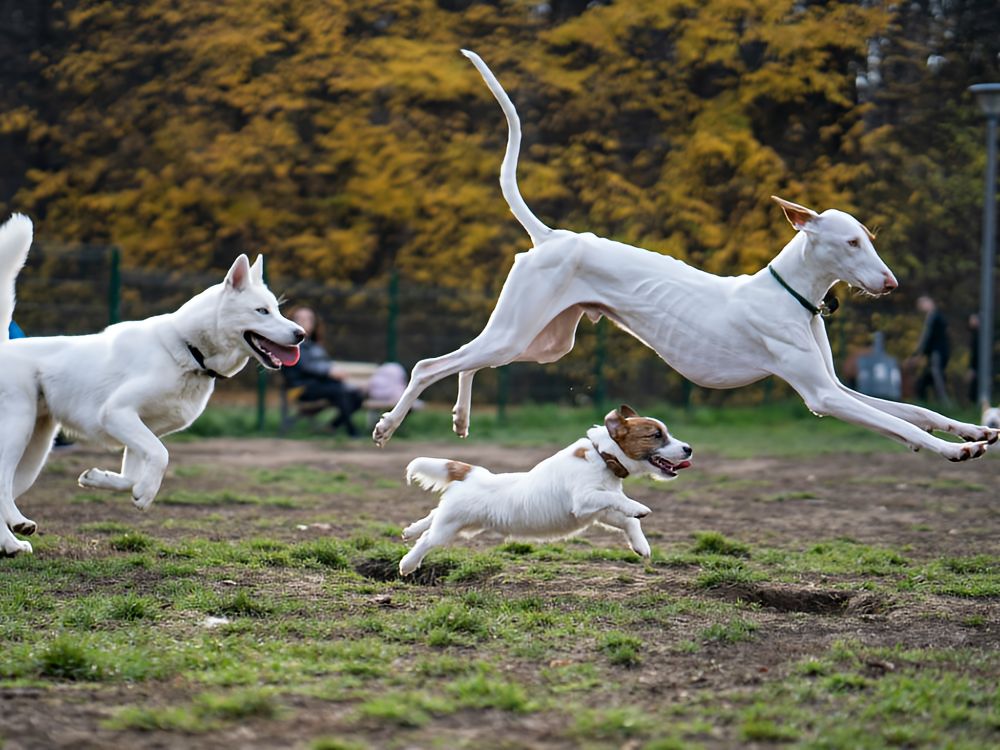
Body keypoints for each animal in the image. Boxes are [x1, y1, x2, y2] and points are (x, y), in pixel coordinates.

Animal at [0, 214, 304, 556]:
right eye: (261, 311)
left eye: (277, 309)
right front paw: (145, 493)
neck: (188, 351)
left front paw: (100, 480)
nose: (301, 334)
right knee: (1, 485)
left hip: (35, 452)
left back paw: (10, 543)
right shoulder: (116, 413)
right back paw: (14, 531)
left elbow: (130, 474)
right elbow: (161, 455)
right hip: (17, 430)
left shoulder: (138, 429)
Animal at [372, 50, 996, 462]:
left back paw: (460, 415)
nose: (891, 284)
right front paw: (951, 451)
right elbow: (902, 426)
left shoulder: (838, 389)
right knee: (431, 364)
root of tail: (552, 237)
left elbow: (915, 412)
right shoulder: (822, 397)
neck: (791, 296)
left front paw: (973, 430)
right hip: (520, 331)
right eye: (851, 242)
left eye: (869, 236)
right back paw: (388, 424)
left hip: (543, 342)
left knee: (467, 361)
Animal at [394, 406, 692, 576]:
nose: (688, 449)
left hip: (461, 522)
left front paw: (641, 546)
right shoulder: (585, 500)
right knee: (428, 540)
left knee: (431, 516)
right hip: (449, 527)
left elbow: (627, 519)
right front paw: (639, 507)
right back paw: (408, 564)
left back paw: (410, 530)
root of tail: (473, 473)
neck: (602, 456)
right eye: (656, 435)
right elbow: (619, 499)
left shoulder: (600, 513)